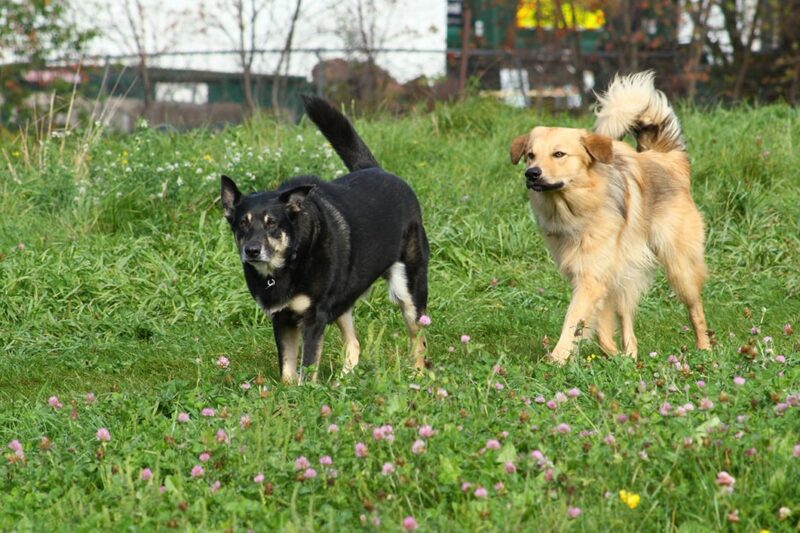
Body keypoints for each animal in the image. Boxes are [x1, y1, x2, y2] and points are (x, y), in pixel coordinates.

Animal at [219, 94, 432, 378]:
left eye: (272, 223)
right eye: (243, 224)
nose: (252, 250)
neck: (291, 260)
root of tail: (378, 170)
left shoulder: (313, 318)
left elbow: (307, 367)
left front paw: (307, 387)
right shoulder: (282, 319)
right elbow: (287, 369)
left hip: (408, 289)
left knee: (418, 339)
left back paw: (416, 376)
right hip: (343, 297)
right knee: (354, 344)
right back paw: (344, 381)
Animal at [510, 72, 708, 364]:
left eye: (559, 154)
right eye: (530, 155)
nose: (531, 174)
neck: (575, 207)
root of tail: (666, 159)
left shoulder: (591, 277)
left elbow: (573, 320)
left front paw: (557, 360)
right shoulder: (590, 275)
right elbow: (599, 326)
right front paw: (608, 355)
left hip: (679, 266)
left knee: (695, 309)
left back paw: (705, 348)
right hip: (623, 273)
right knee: (625, 318)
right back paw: (628, 355)